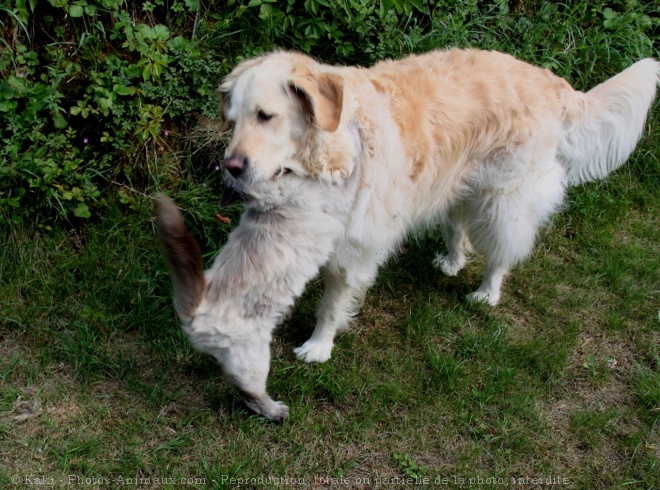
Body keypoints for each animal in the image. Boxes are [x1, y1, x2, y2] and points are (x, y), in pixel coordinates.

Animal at [157, 47, 656, 420]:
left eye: (266, 116)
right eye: (233, 119)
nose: (231, 168)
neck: (337, 139)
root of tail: (550, 80)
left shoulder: (354, 249)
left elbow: (332, 303)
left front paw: (319, 346)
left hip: (502, 199)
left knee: (502, 251)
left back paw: (487, 291)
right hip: (454, 186)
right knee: (459, 232)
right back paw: (451, 262)